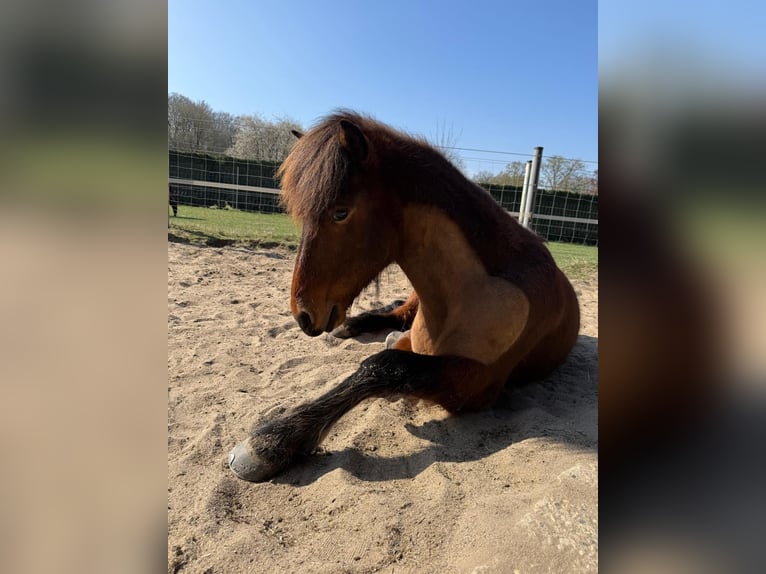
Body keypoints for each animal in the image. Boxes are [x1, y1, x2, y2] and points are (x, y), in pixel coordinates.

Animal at [228, 111, 580, 482]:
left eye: (340, 212)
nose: (303, 314)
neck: (478, 289)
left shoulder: (476, 382)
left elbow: (386, 365)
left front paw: (269, 442)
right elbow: (389, 358)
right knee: (397, 310)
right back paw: (353, 325)